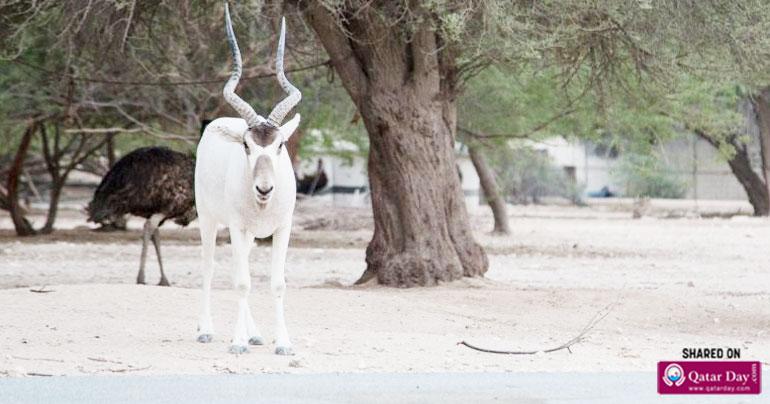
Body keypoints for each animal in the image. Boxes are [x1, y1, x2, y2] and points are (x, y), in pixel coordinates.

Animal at [194, 4, 298, 356]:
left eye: (279, 145)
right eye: (246, 146)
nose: (264, 188)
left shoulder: (282, 229)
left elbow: (276, 283)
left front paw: (283, 343)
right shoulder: (236, 227)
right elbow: (242, 282)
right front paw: (238, 343)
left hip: (250, 235)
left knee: (239, 267)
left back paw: (255, 334)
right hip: (209, 220)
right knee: (210, 267)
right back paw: (206, 331)